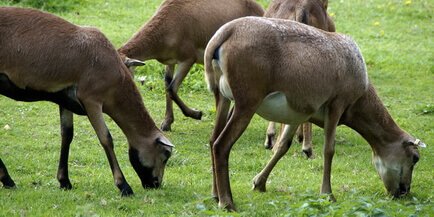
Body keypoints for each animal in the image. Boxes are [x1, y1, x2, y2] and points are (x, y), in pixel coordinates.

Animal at [0, 7, 173, 197]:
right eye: (166, 154)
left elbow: (67, 135)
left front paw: (64, 181)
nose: (155, 184)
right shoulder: (92, 99)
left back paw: (7, 179)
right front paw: (124, 186)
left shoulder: (64, 98)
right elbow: (106, 138)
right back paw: (7, 179)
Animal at [117, 0, 262, 131]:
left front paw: (197, 114)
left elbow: (172, 88)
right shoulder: (170, 62)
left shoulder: (188, 59)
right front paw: (167, 123)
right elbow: (167, 84)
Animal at [203, 16, 424, 210]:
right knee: (222, 144)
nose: (404, 192)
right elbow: (329, 149)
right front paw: (328, 194)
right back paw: (227, 202)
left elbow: (282, 146)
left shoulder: (298, 113)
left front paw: (259, 183)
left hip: (223, 98)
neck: (360, 100)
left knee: (212, 139)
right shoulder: (336, 104)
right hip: (246, 102)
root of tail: (224, 33)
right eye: (415, 158)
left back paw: (215, 195)